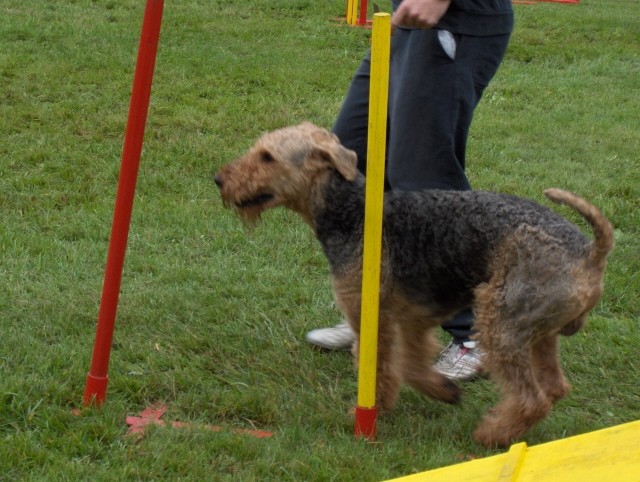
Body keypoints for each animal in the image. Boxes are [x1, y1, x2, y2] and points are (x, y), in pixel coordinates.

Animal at [215, 122, 616, 446]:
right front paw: (444, 390)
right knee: (554, 387)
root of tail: (590, 253)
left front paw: (368, 414)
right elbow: (410, 364)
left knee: (533, 399)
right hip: (538, 333)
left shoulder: (371, 315)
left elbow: (381, 369)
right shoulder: (414, 318)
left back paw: (491, 434)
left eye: (267, 156)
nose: (219, 179)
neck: (352, 212)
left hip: (501, 322)